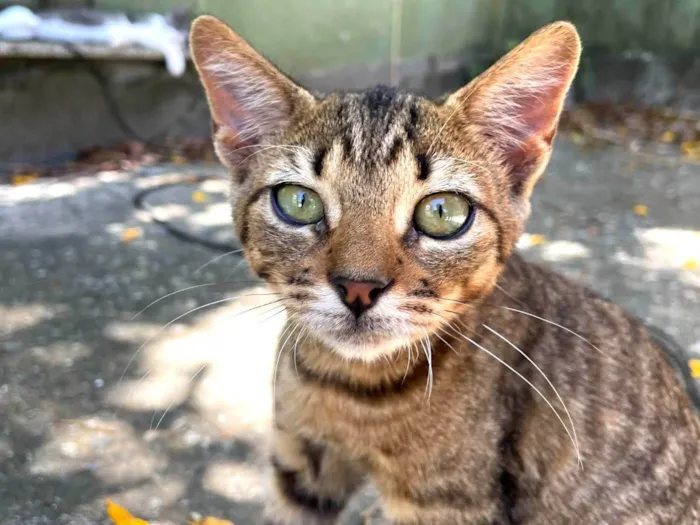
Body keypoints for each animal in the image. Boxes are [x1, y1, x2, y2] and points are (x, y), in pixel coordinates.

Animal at [189, 16, 696, 524]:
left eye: (442, 212)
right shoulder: (300, 465)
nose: (358, 287)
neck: (351, 390)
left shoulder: (451, 505)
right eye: (298, 202)